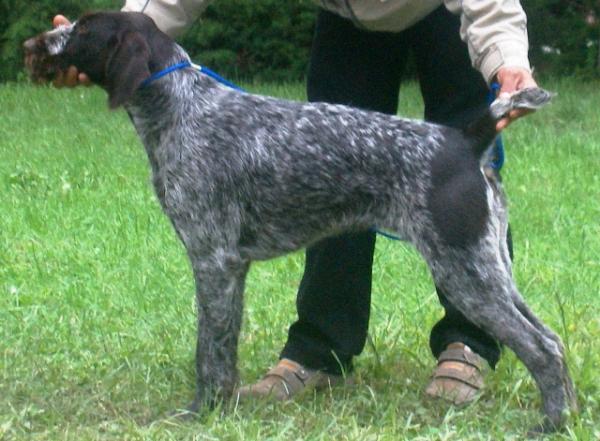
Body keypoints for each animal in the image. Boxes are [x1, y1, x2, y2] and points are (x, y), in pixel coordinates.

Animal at [23, 11, 576, 434]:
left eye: (82, 29)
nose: (34, 43)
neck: (182, 108)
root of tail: (465, 139)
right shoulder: (230, 267)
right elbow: (224, 349)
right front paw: (225, 408)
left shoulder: (213, 260)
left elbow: (209, 352)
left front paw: (203, 413)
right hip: (490, 268)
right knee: (551, 338)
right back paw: (568, 414)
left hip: (464, 272)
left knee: (541, 347)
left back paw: (550, 423)